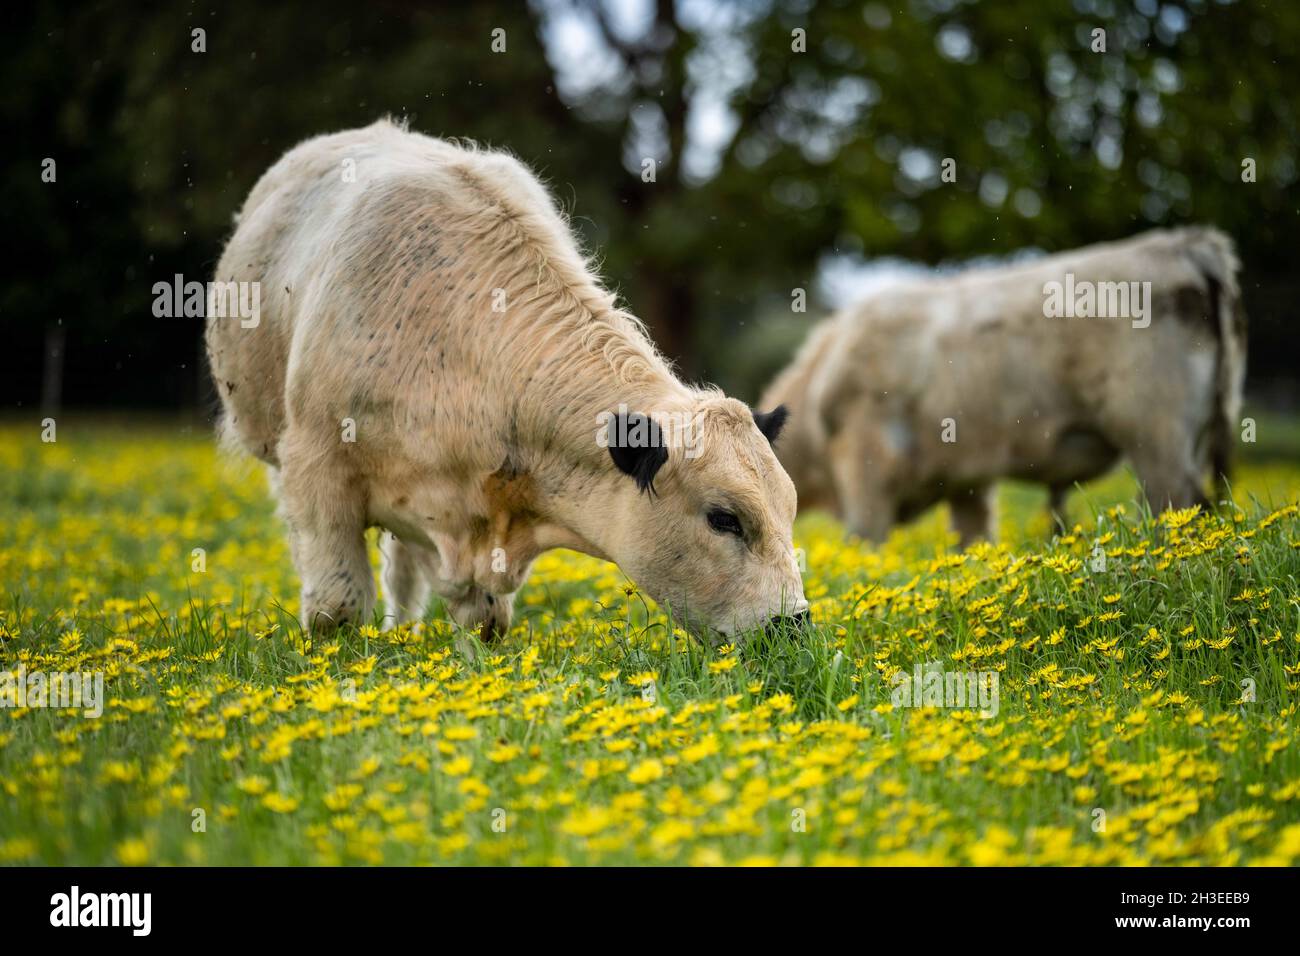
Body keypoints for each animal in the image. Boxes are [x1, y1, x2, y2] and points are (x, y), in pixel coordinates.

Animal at [205, 117, 800, 642]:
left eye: (790, 509)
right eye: (724, 519)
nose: (791, 627)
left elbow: (484, 622)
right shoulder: (316, 469)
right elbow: (337, 608)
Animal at [759, 226, 1248, 546]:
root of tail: (1184, 244)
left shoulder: (867, 468)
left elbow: (866, 543)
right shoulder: (967, 481)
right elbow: (973, 543)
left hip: (1158, 437)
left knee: (1175, 505)